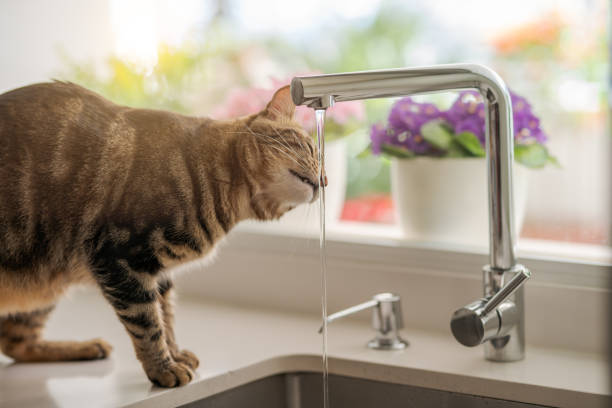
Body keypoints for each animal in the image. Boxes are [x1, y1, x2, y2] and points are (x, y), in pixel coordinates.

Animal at [0, 81, 322, 388]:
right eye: (310, 148)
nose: (326, 180)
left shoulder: (159, 273)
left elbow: (165, 316)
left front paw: (175, 354)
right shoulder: (120, 258)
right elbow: (147, 323)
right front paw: (163, 367)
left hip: (46, 285)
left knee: (17, 344)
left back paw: (85, 347)